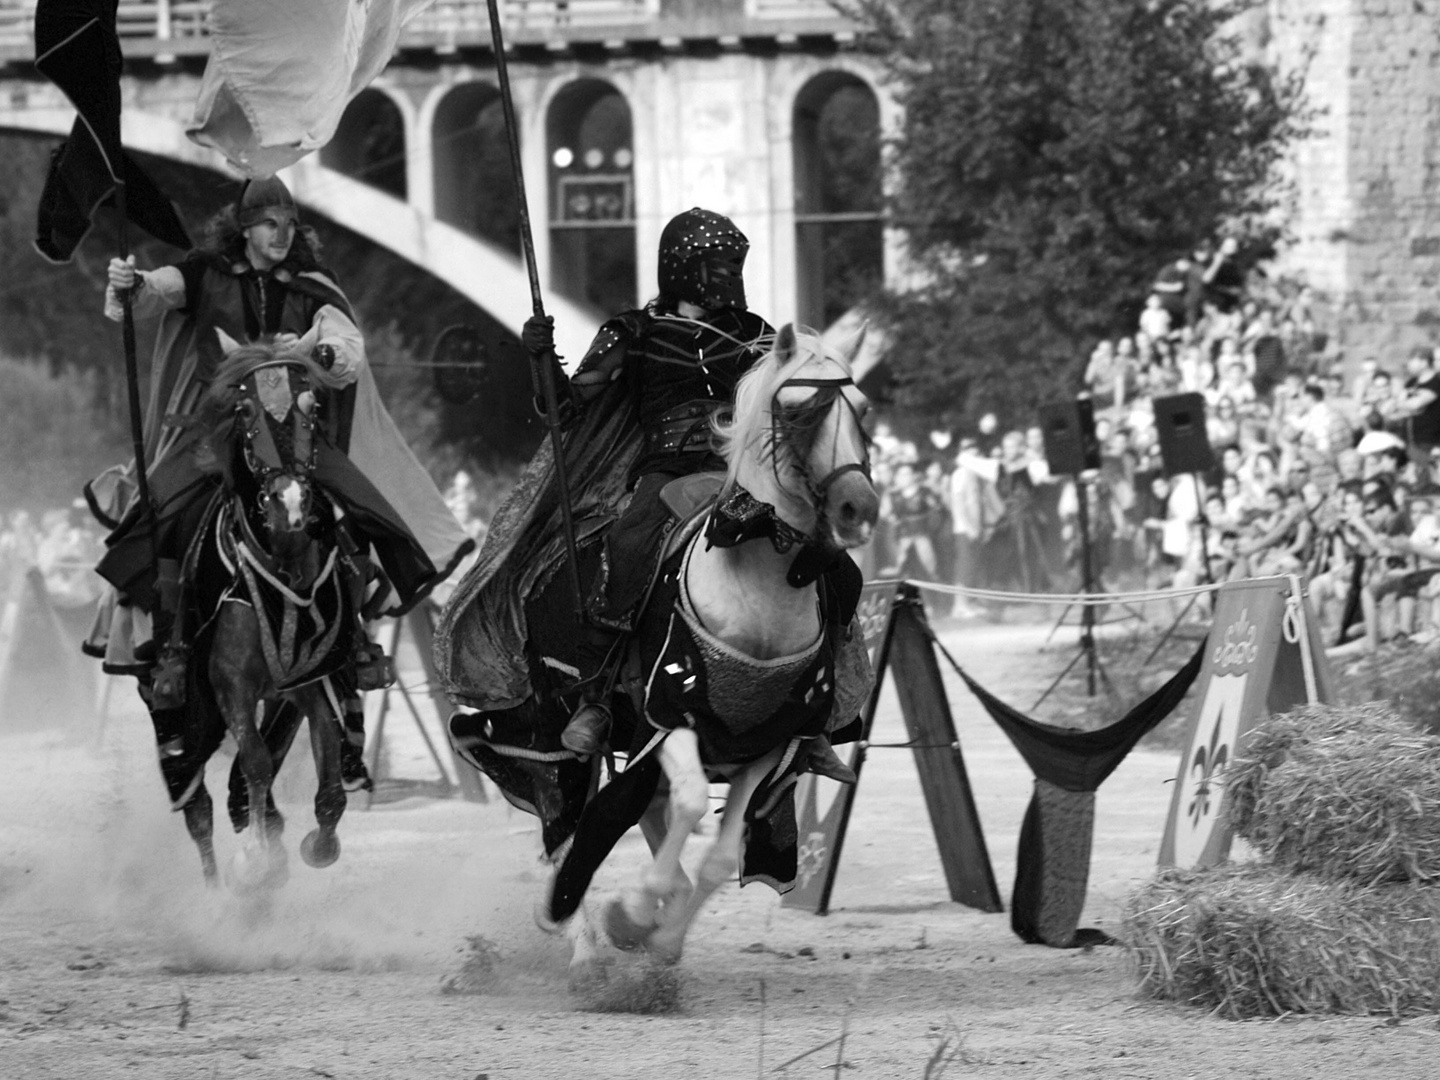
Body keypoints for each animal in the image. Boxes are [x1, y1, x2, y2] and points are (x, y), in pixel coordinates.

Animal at [166, 342, 360, 892]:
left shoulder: (311, 682)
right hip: (185, 711)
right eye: (245, 410)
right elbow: (253, 761)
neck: (283, 564)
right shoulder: (229, 683)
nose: (288, 505)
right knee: (197, 801)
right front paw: (256, 860)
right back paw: (217, 889)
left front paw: (317, 845)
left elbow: (328, 776)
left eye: (313, 407)